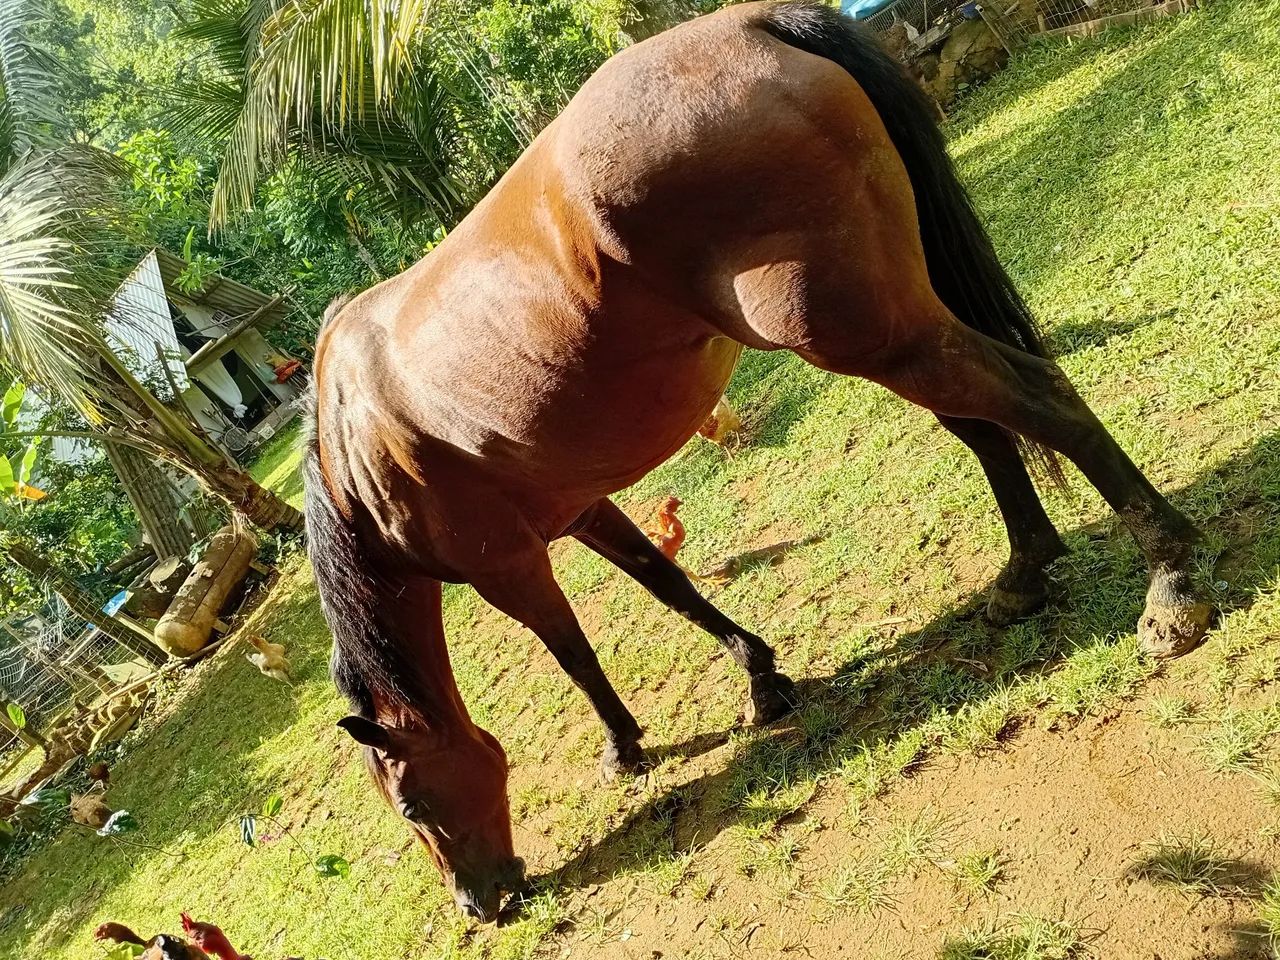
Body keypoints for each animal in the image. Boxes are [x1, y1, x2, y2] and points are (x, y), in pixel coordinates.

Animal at [304, 1, 1211, 922]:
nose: (476, 905)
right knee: (985, 427)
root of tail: (749, 23)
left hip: (870, 335)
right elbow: (671, 587)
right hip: (890, 333)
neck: (357, 438)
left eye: (413, 803)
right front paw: (761, 678)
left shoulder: (507, 565)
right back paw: (1024, 574)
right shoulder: (582, 510)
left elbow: (574, 653)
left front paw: (624, 745)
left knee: (1037, 396)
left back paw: (1171, 585)